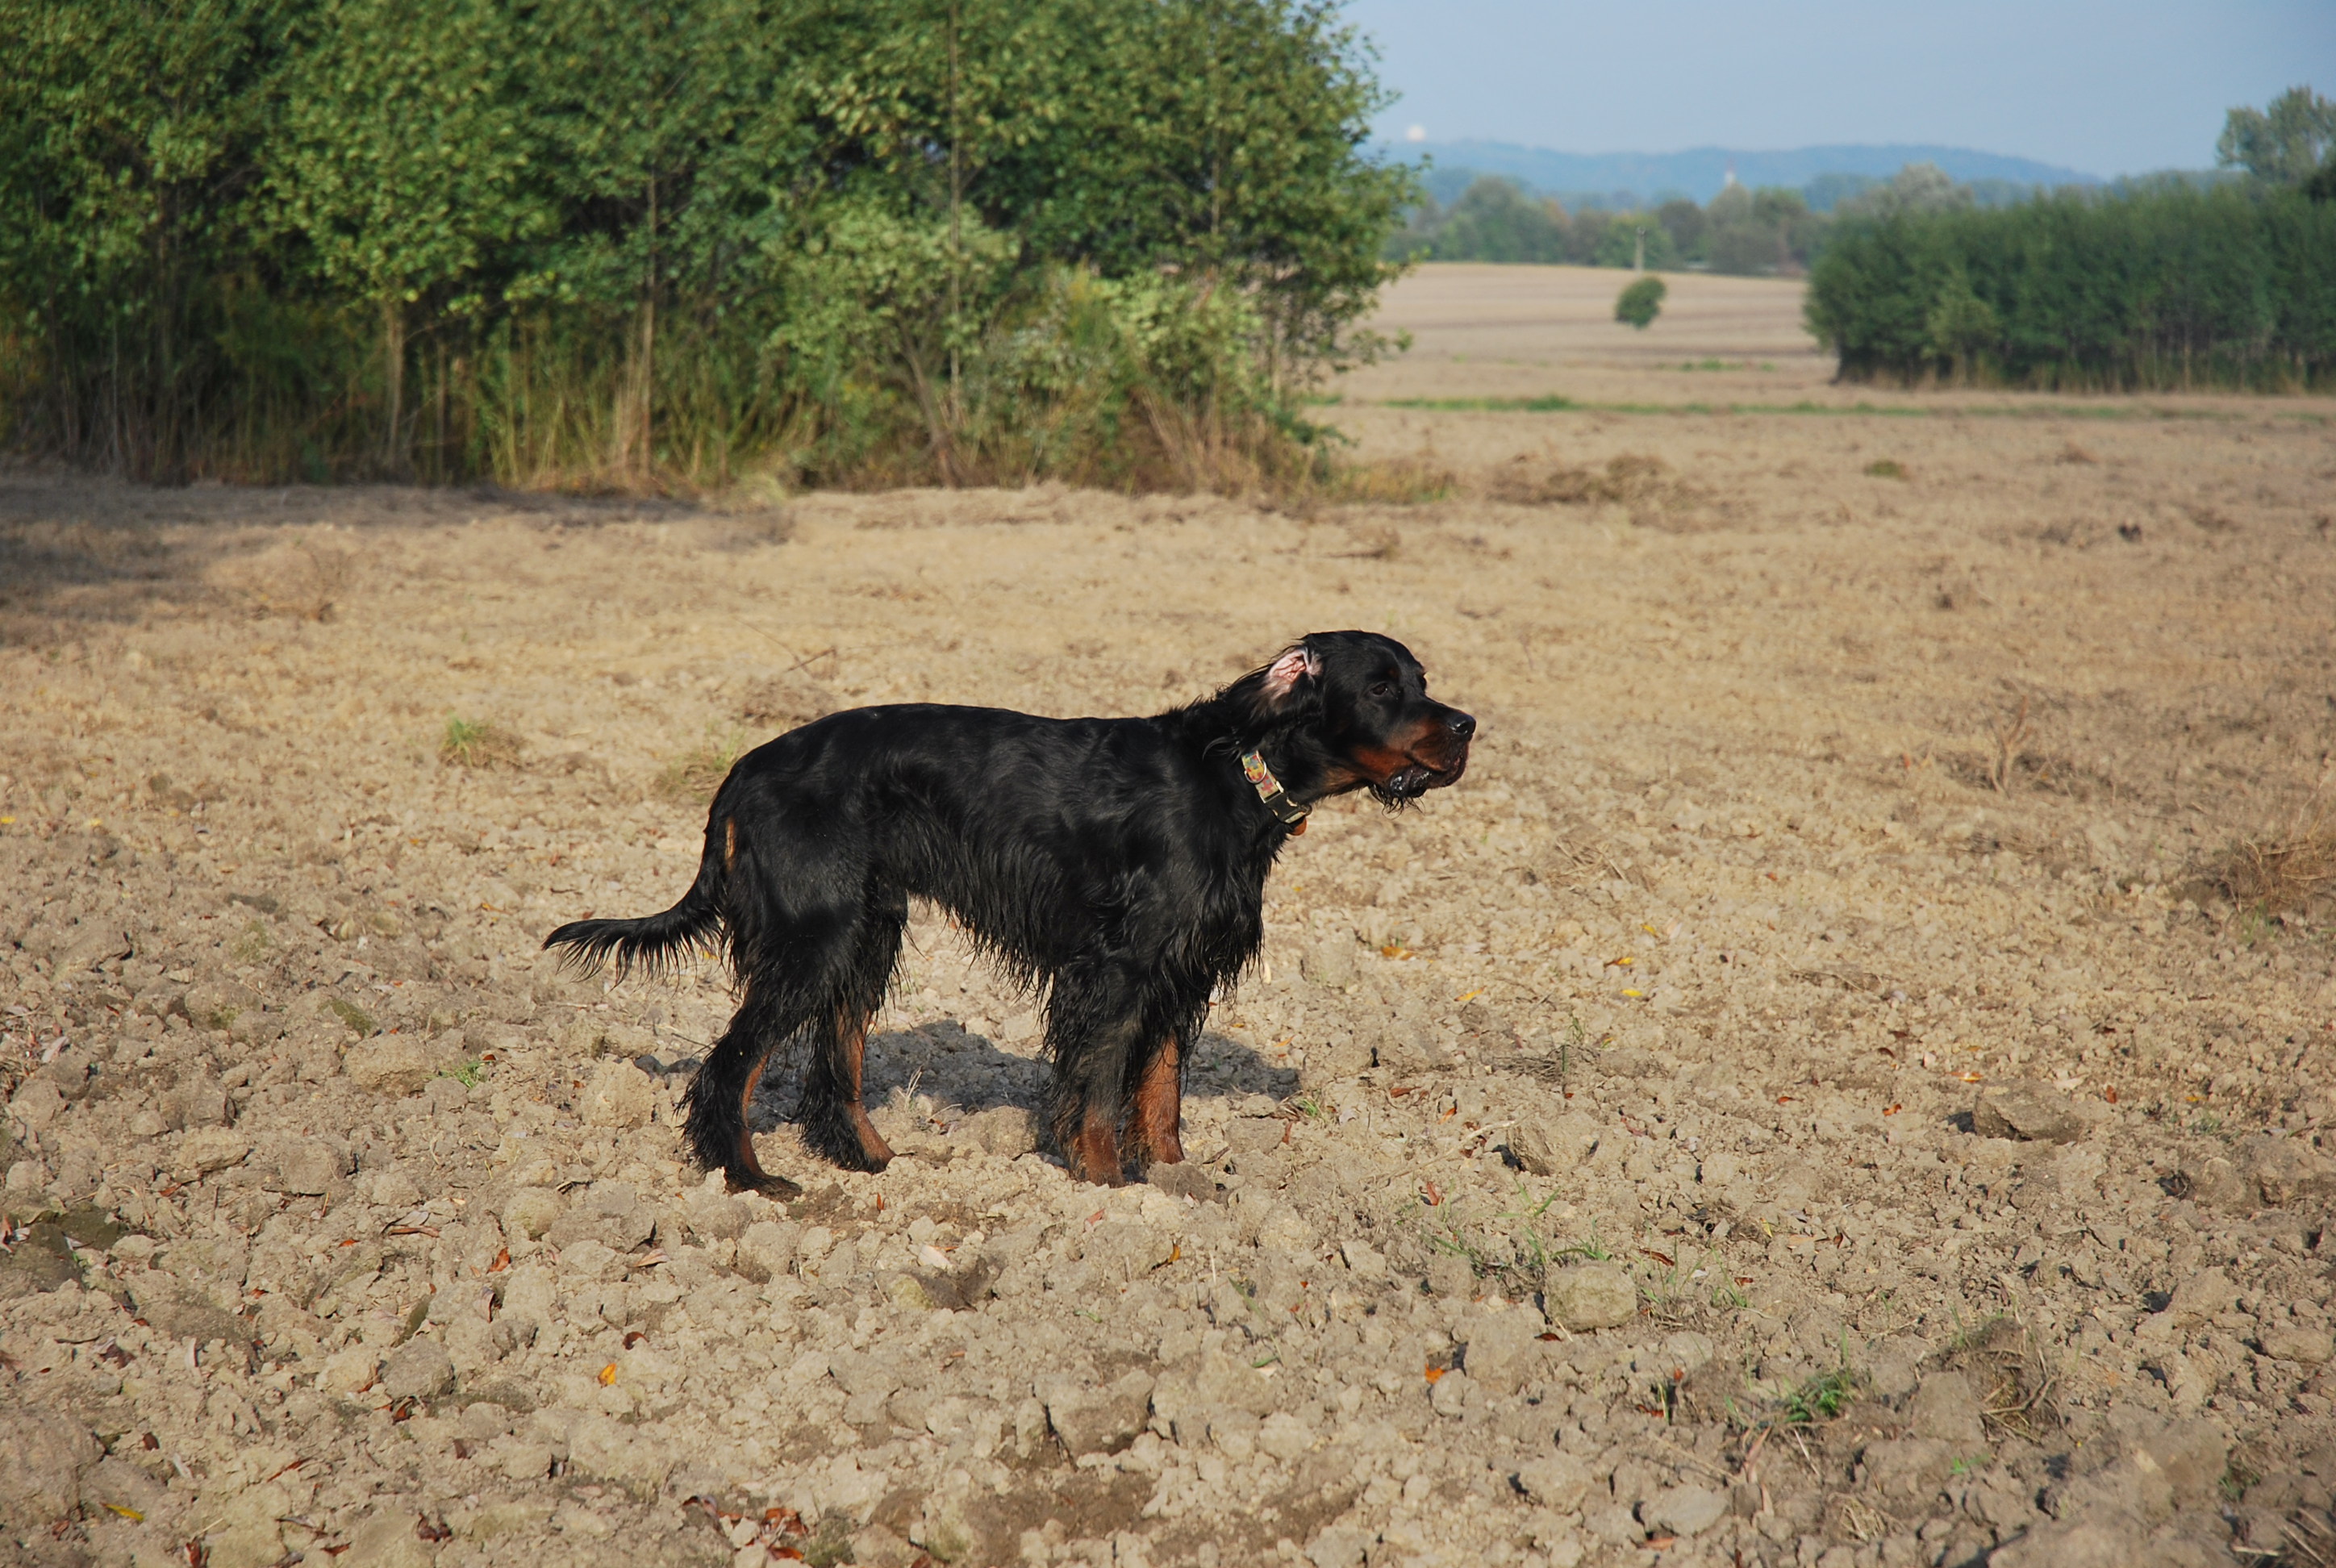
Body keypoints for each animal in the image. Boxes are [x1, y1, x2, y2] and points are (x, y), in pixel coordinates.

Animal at [543, 630, 1474, 1192]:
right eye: (1381, 685)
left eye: (1424, 680)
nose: (1467, 725)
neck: (1236, 771)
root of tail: (743, 769)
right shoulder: (1118, 966)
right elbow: (1099, 1085)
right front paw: (1107, 1184)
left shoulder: (1182, 967)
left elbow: (1161, 1089)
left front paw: (1176, 1181)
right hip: (815, 939)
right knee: (730, 1067)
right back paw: (749, 1179)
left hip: (865, 933)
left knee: (834, 1064)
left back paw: (877, 1161)